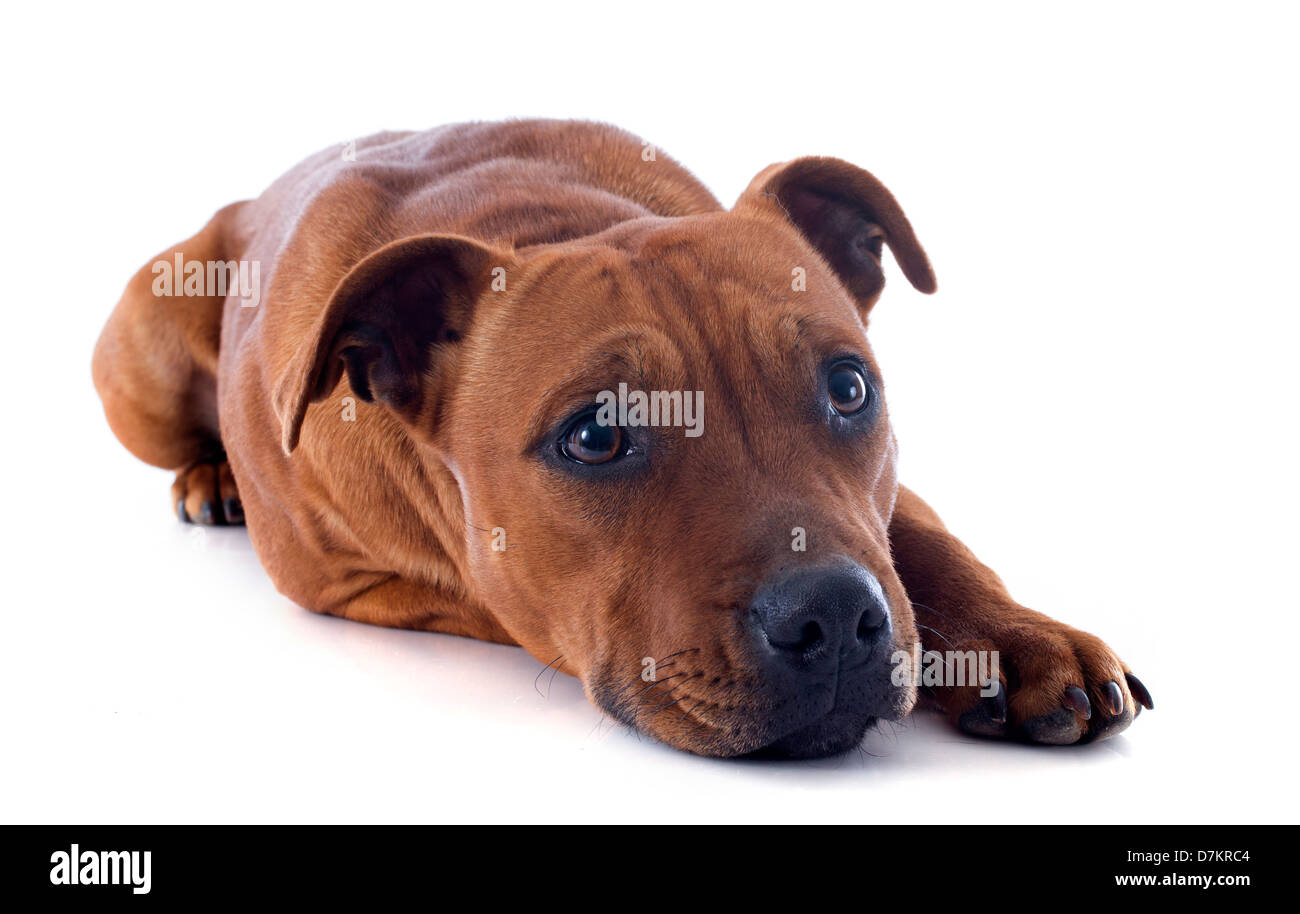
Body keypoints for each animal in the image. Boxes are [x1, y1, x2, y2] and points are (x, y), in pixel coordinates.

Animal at [91, 119, 1154, 759]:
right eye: (595, 436)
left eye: (850, 388)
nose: (835, 615)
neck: (544, 217)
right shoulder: (368, 583)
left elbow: (918, 536)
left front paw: (1013, 635)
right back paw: (208, 476)